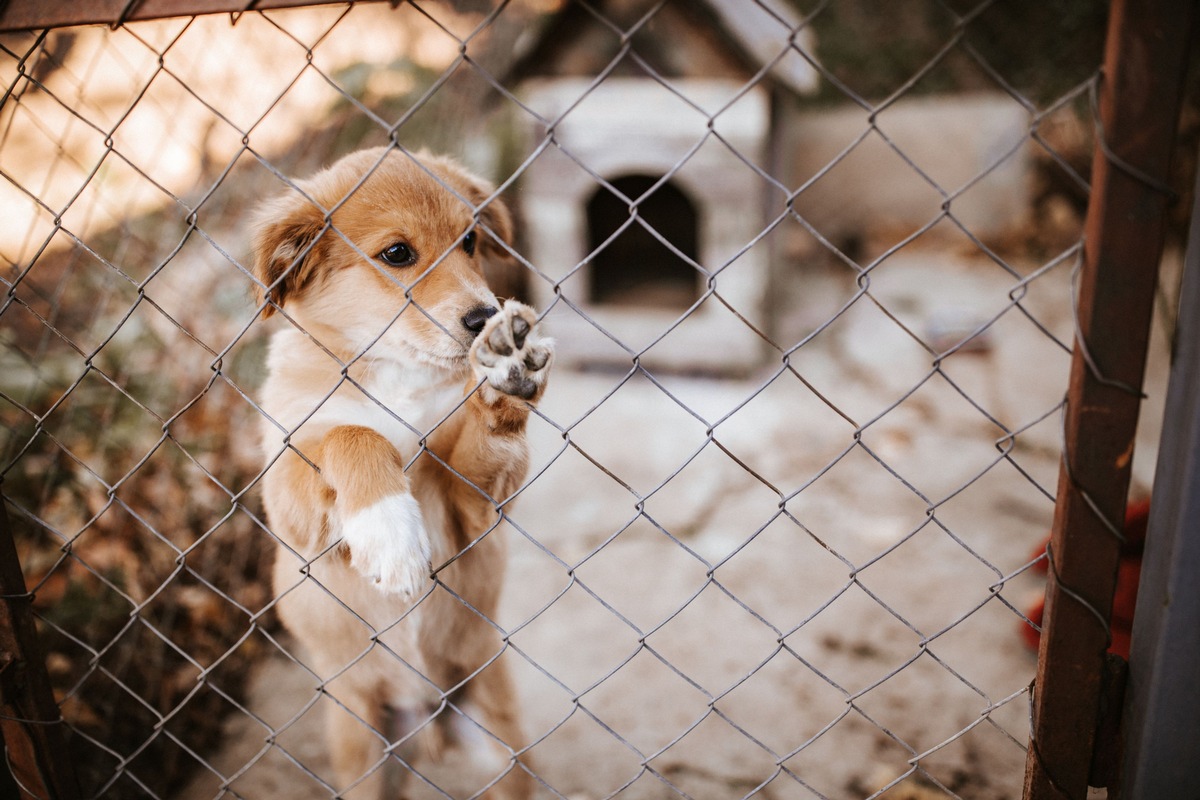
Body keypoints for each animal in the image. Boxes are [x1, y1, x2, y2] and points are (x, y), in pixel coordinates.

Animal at [255, 146, 554, 796]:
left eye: (470, 240)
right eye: (397, 254)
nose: (486, 317)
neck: (395, 372)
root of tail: (428, 721)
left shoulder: (475, 508)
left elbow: (482, 441)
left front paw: (507, 370)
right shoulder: (290, 500)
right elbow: (353, 434)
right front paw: (389, 534)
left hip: (503, 739)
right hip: (360, 744)